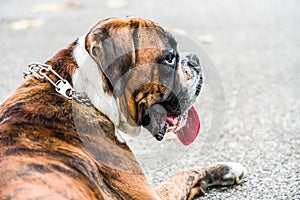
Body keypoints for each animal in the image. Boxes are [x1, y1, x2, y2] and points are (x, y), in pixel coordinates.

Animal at [0, 17, 246, 200]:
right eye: (169, 58)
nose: (195, 59)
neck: (81, 92)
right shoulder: (150, 196)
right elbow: (184, 173)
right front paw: (227, 169)